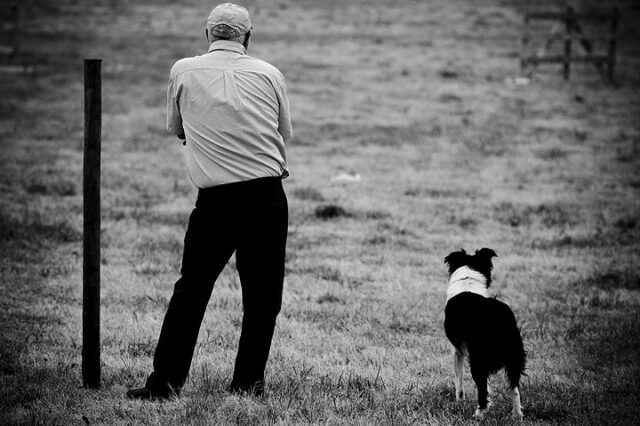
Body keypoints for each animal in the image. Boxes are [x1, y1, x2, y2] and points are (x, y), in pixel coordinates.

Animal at [444, 248, 524, 418]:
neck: (467, 280)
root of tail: (498, 316)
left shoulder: (457, 350)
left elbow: (459, 379)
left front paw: (459, 402)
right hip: (514, 354)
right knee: (514, 387)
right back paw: (516, 415)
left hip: (478, 356)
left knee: (480, 386)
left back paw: (479, 414)